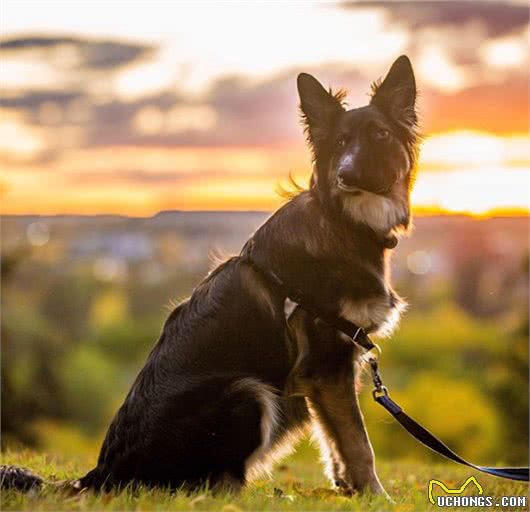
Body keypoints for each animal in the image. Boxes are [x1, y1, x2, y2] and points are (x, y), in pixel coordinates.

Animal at [2, 55, 418, 496]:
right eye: (339, 143)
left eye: (380, 134)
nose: (346, 175)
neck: (343, 221)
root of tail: (105, 473)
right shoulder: (327, 363)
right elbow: (357, 442)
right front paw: (377, 496)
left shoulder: (330, 370)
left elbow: (338, 441)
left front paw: (351, 491)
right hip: (249, 391)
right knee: (209, 484)